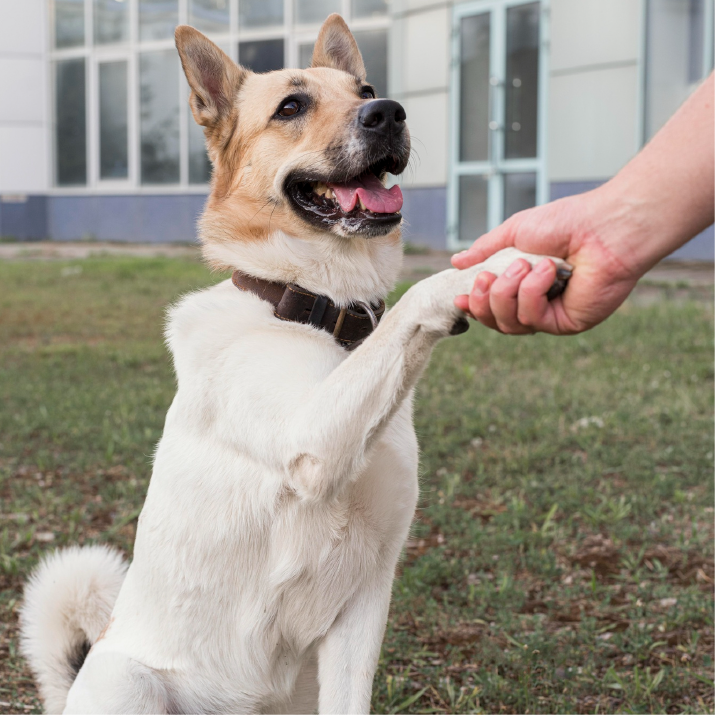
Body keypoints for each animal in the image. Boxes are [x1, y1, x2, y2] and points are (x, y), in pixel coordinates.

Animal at [19, 15, 572, 712]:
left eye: (366, 89)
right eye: (290, 107)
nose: (389, 112)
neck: (318, 310)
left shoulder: (363, 603)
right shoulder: (313, 439)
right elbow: (417, 298)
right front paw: (496, 266)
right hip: (130, 682)